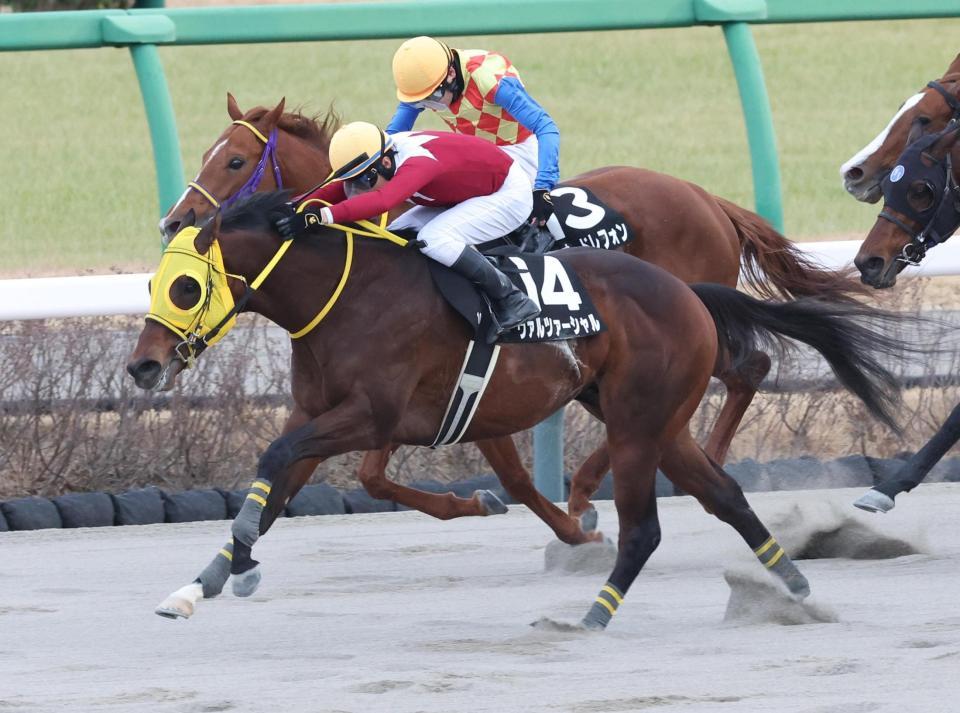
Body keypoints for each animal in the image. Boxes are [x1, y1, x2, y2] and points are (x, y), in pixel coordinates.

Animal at [127, 192, 908, 624]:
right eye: (156, 286)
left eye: (185, 289)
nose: (143, 365)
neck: (346, 295)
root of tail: (685, 290)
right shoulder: (316, 415)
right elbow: (276, 482)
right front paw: (198, 585)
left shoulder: (371, 416)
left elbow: (277, 460)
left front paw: (239, 566)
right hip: (658, 421)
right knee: (725, 495)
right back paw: (796, 588)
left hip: (637, 421)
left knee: (647, 527)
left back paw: (590, 616)